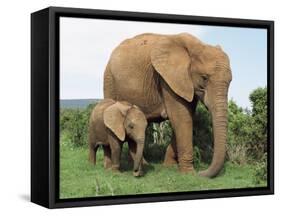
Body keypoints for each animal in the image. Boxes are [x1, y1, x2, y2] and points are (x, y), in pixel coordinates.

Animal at [102, 32, 230, 177]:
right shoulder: (168, 79)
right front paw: (189, 173)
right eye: (204, 78)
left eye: (230, 81)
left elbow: (185, 117)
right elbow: (182, 118)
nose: (201, 172)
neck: (196, 46)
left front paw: (169, 166)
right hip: (109, 81)